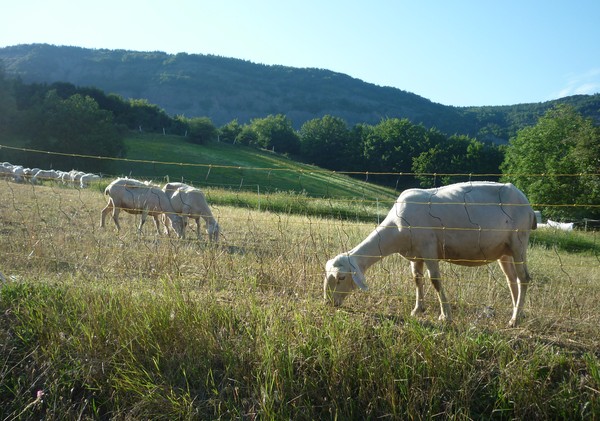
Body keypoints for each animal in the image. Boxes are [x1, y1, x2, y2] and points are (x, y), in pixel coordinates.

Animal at [326, 180, 536, 324]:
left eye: (341, 278)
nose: (329, 303)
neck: (396, 229)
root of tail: (529, 207)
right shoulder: (415, 254)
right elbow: (417, 279)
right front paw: (417, 309)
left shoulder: (429, 248)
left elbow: (435, 281)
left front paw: (445, 316)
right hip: (504, 250)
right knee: (512, 280)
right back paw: (519, 312)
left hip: (519, 242)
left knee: (524, 278)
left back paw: (514, 319)